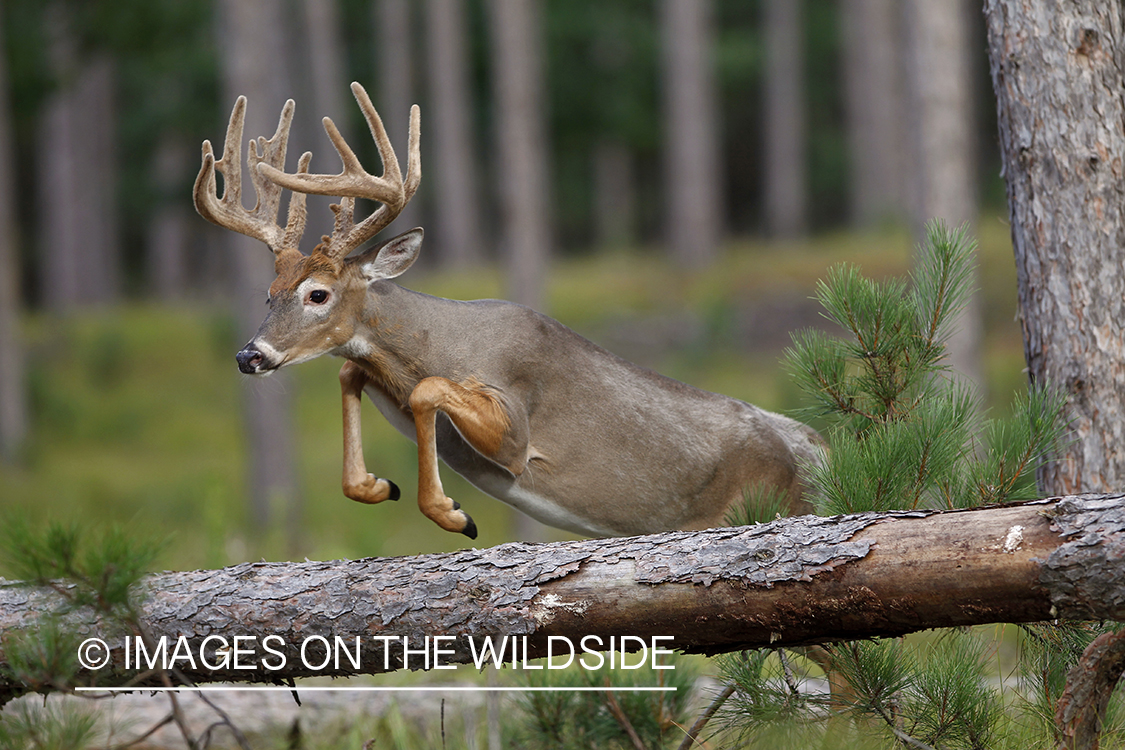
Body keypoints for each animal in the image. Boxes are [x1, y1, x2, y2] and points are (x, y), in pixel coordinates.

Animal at [195, 82, 828, 539]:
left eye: (318, 294)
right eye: (268, 292)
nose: (250, 355)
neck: (441, 342)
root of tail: (826, 450)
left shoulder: (518, 427)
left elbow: (428, 391)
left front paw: (451, 512)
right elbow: (352, 371)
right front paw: (377, 486)